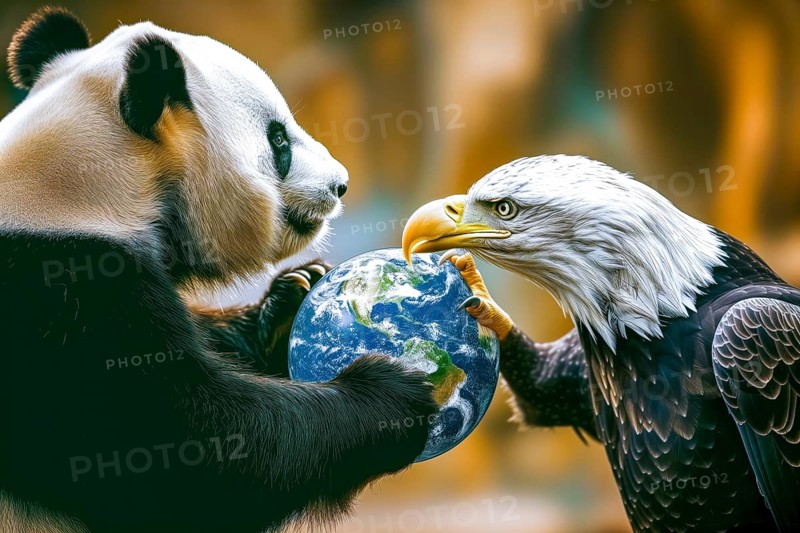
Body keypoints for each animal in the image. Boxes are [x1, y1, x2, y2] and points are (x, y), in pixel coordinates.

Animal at [0, 7, 436, 533]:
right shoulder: (59, 304)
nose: (341, 184)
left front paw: (288, 304)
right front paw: (393, 396)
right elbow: (192, 456)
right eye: (278, 139)